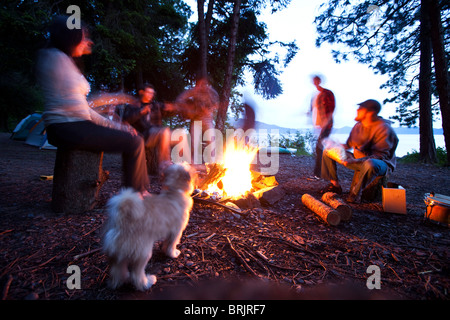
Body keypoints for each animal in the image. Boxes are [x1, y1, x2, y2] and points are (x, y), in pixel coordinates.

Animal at [103, 164, 194, 292]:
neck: (174, 192)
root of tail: (123, 222)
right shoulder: (176, 231)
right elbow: (172, 244)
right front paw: (172, 253)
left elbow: (166, 243)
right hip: (143, 254)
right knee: (137, 275)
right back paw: (147, 282)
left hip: (117, 257)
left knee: (118, 272)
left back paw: (122, 280)